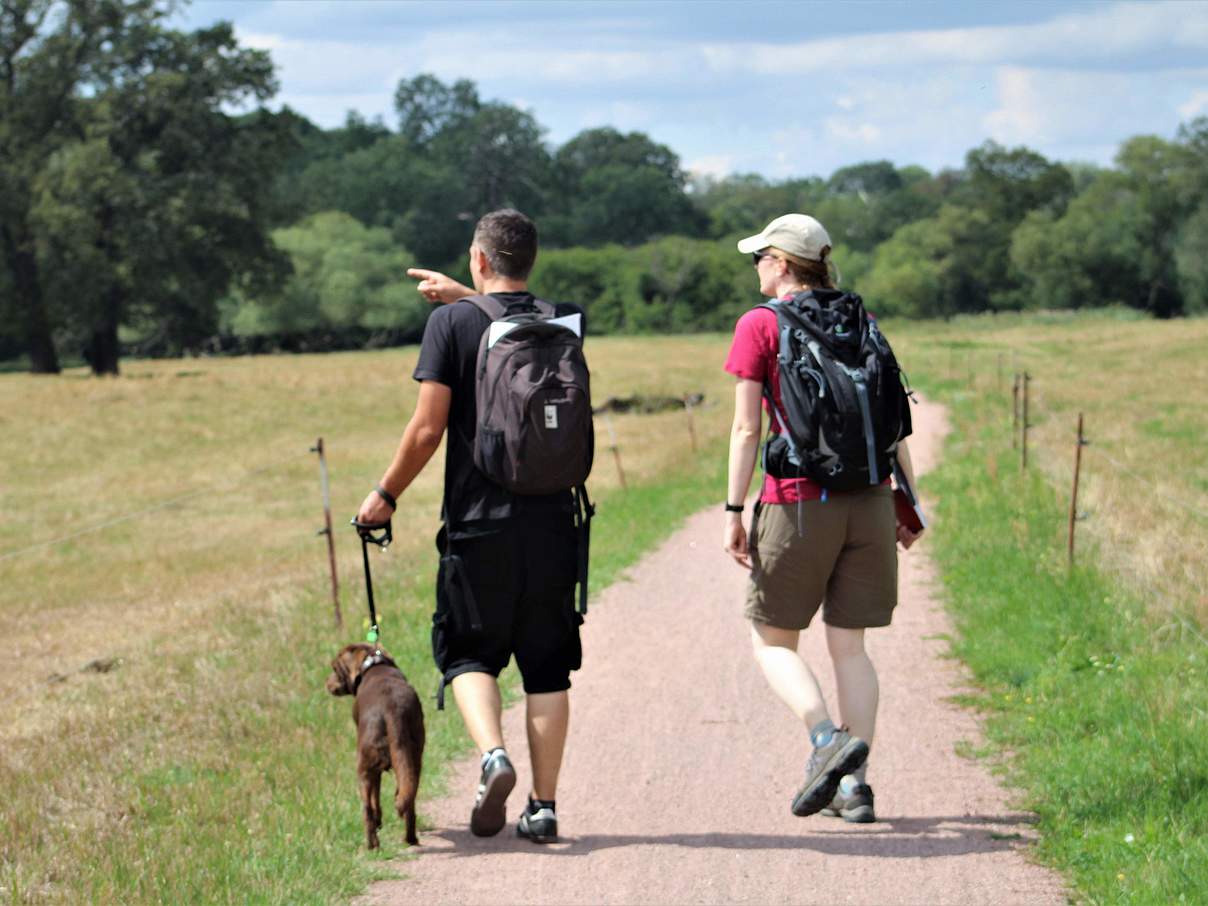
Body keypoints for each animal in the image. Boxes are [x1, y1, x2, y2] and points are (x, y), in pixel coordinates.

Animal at [328, 642, 427, 850]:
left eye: (334, 668)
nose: (327, 684)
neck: (373, 663)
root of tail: (391, 709)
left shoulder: (373, 771)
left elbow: (375, 801)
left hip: (364, 768)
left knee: (367, 808)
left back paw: (372, 845)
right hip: (414, 760)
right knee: (409, 801)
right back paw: (410, 839)